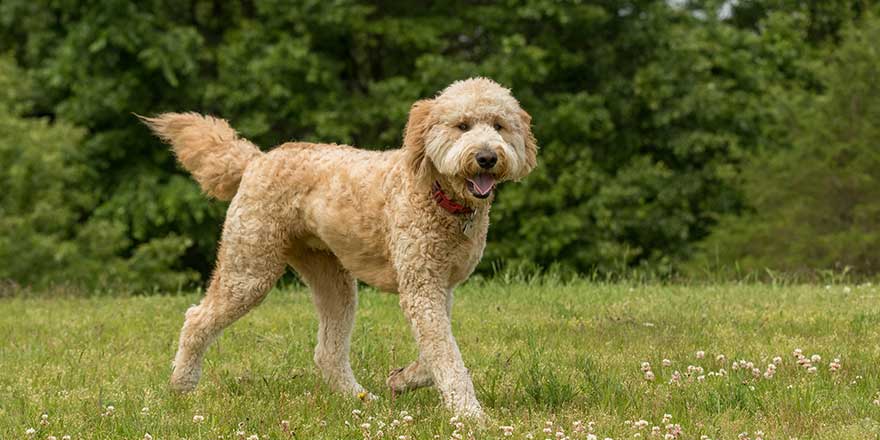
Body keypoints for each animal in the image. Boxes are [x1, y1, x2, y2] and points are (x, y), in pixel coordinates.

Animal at [144, 77, 536, 418]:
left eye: (499, 125)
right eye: (462, 125)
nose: (486, 157)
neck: (437, 194)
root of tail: (256, 160)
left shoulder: (438, 286)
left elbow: (435, 350)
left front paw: (403, 379)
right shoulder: (421, 288)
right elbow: (446, 354)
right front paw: (470, 414)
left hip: (332, 279)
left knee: (327, 353)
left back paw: (360, 398)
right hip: (249, 267)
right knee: (197, 318)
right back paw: (182, 384)